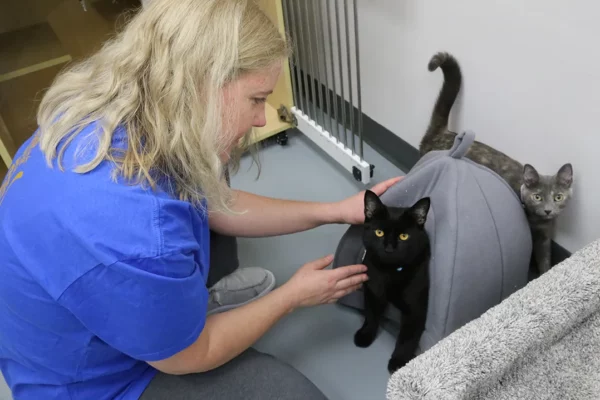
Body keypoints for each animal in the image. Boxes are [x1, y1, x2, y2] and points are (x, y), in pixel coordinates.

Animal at [352, 189, 432, 374]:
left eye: (404, 236)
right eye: (379, 233)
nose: (389, 248)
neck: (390, 272)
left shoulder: (415, 308)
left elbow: (407, 337)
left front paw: (399, 362)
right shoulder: (373, 291)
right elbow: (371, 316)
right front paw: (365, 335)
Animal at [420, 50, 576, 276]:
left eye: (558, 197)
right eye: (537, 196)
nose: (548, 210)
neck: (538, 221)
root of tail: (443, 133)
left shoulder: (544, 237)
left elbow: (545, 259)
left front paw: (544, 272)